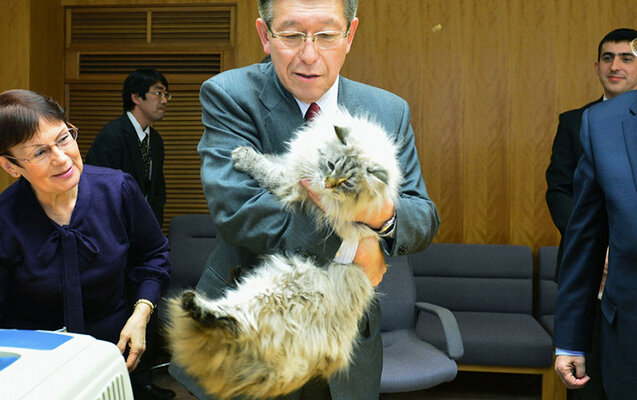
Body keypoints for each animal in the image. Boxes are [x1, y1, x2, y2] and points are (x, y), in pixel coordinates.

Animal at [166, 107, 400, 400]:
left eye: (347, 183)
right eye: (331, 165)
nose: (327, 184)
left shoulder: (292, 184)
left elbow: (266, 170)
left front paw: (243, 155)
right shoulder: (295, 167)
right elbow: (274, 160)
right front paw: (252, 152)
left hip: (280, 291)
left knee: (239, 321)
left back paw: (198, 307)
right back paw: (230, 280)